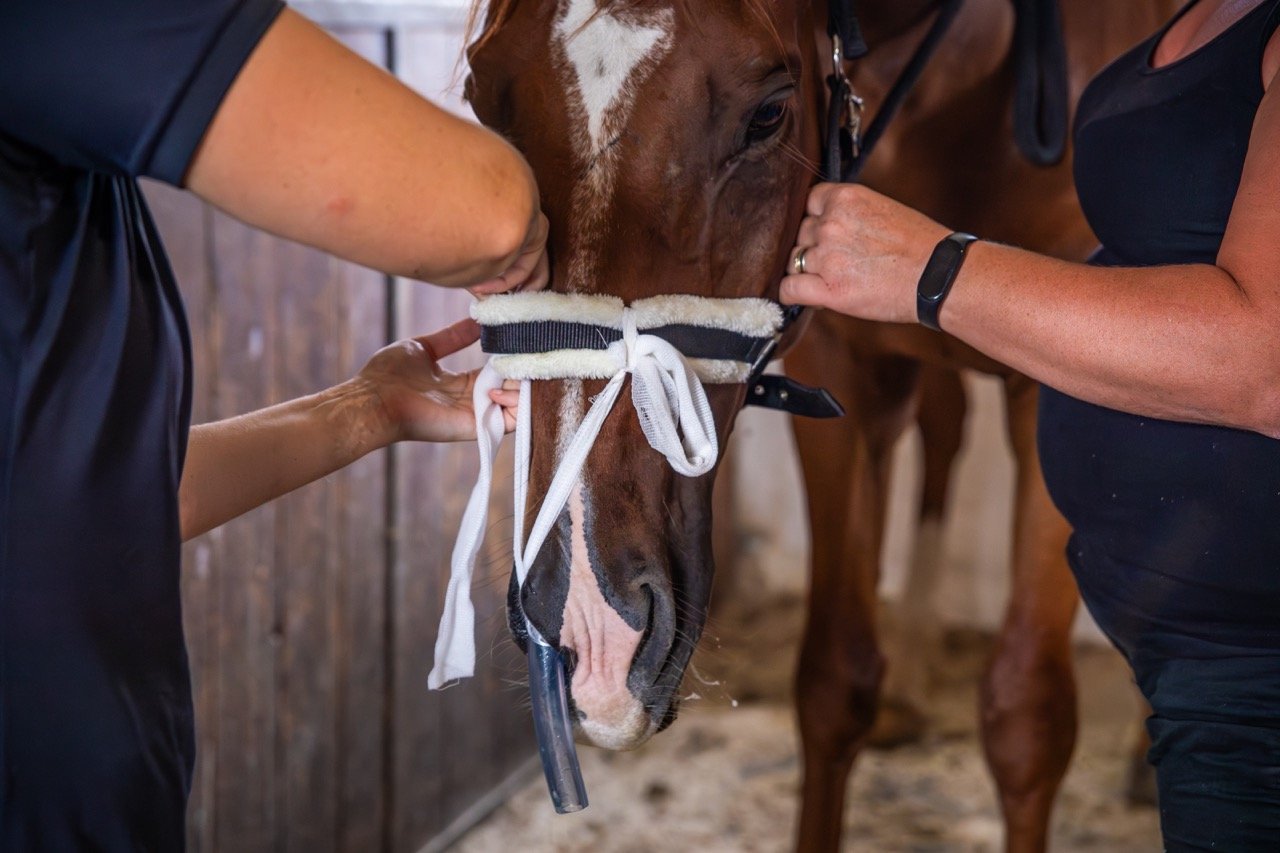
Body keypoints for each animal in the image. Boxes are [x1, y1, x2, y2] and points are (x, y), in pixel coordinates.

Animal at [465, 1, 1172, 845]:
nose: (593, 628)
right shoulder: (841, 369)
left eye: (768, 114)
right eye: (481, 104)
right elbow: (835, 679)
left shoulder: (1062, 388)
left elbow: (1028, 718)